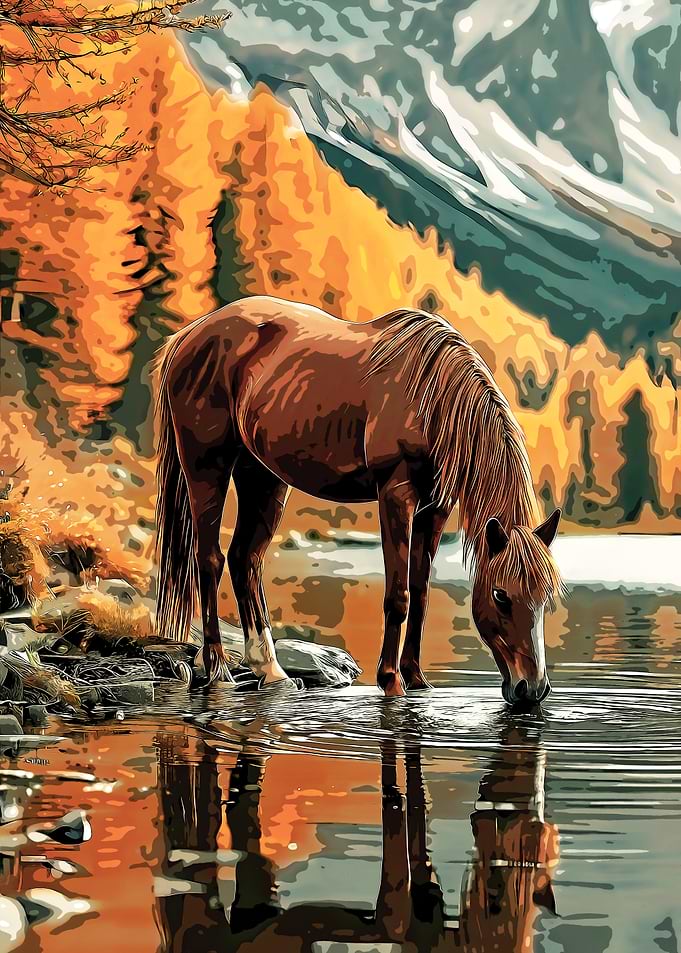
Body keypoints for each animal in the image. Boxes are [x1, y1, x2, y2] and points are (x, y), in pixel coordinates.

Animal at [154, 296, 563, 701]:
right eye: (500, 595)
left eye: (545, 596)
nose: (532, 689)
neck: (431, 396)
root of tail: (190, 335)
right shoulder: (396, 494)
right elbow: (399, 594)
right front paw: (392, 680)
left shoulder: (436, 507)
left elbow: (421, 591)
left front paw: (417, 679)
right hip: (207, 467)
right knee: (210, 559)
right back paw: (218, 670)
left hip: (263, 476)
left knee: (245, 560)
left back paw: (271, 671)